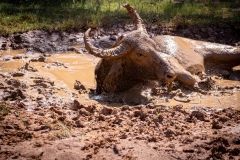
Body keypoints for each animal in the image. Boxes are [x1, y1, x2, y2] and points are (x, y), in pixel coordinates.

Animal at [84, 3, 238, 94]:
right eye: (139, 54)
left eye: (154, 46)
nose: (171, 74)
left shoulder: (175, 64)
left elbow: (190, 78)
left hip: (223, 50)